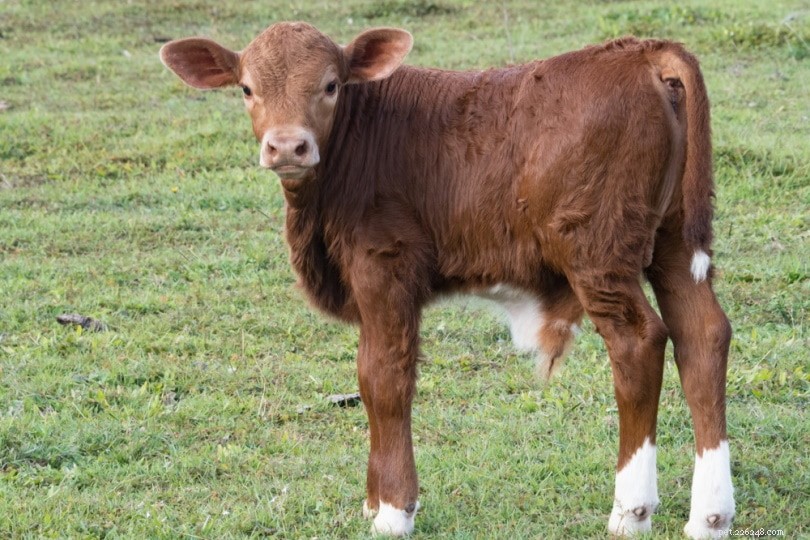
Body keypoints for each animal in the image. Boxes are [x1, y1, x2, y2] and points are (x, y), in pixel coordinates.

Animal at [160, 22, 734, 538]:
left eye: (330, 85)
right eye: (246, 88)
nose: (286, 147)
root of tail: (643, 52)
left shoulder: (384, 266)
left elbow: (384, 378)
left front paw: (393, 512)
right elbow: (366, 378)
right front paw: (374, 502)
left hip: (597, 250)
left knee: (639, 342)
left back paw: (631, 511)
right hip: (675, 241)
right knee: (703, 335)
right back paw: (710, 517)